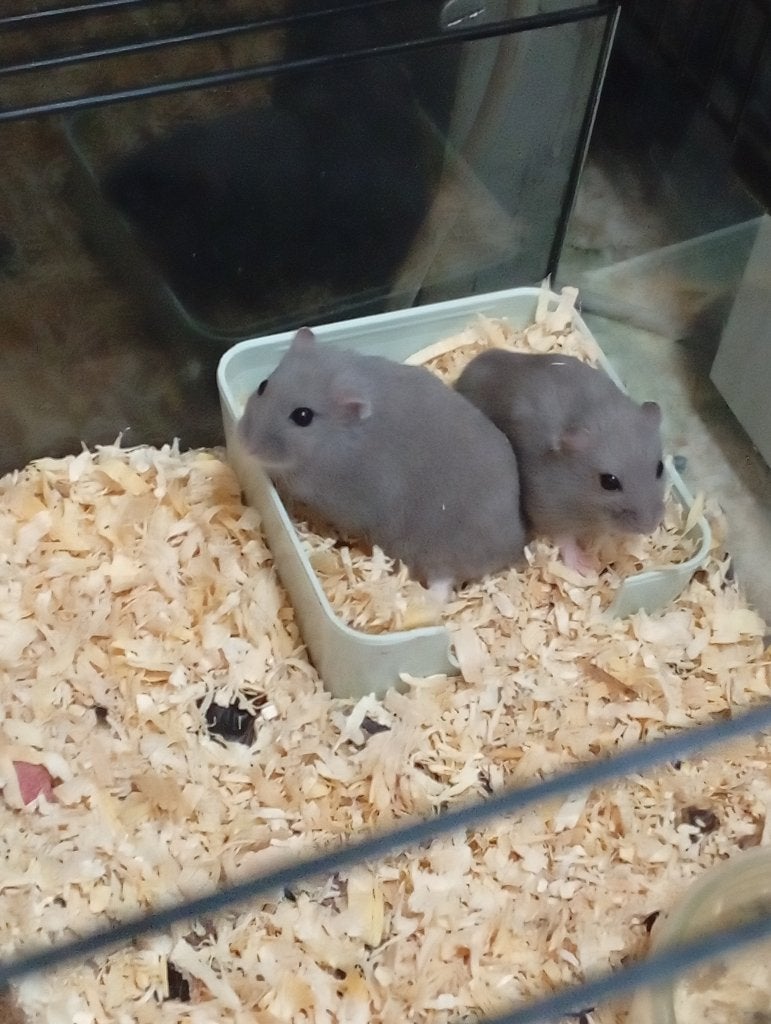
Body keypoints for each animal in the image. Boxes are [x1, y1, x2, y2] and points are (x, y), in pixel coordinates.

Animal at [238, 328, 527, 594]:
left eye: (303, 416)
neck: (335, 441)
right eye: (263, 385)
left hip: (436, 550)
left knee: (442, 586)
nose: (246, 446)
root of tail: (515, 547)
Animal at [454, 349, 665, 574]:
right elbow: (564, 538)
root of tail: (472, 364)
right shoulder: (548, 505)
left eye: (660, 468)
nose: (651, 527)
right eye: (609, 482)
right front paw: (588, 566)